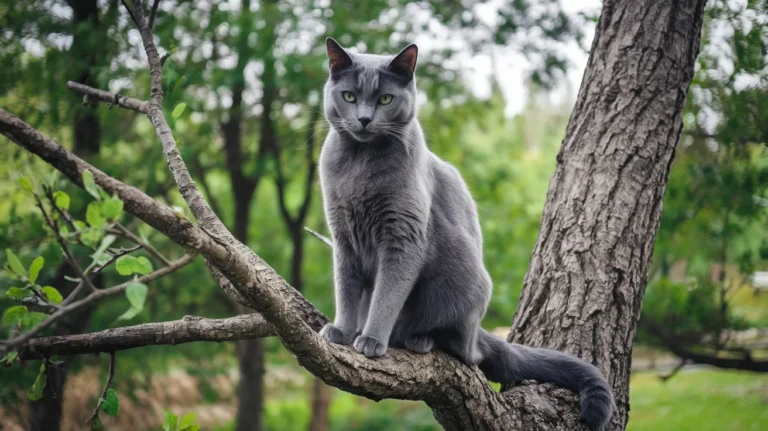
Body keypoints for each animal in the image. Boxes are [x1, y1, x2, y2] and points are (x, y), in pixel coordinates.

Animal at [316, 38, 612, 430]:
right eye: (349, 96)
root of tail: (480, 332)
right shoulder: (343, 237)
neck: (359, 164)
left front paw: (372, 340)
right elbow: (347, 290)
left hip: (467, 276)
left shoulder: (403, 237)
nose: (364, 118)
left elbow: (388, 295)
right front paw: (344, 332)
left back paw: (420, 339)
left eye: (385, 99)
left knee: (462, 350)